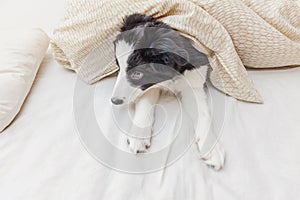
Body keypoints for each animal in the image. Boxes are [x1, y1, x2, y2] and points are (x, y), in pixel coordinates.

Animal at [111, 14, 224, 170]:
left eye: (137, 74)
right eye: (118, 67)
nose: (114, 101)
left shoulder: (194, 79)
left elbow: (203, 114)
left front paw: (212, 149)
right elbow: (146, 98)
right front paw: (139, 134)